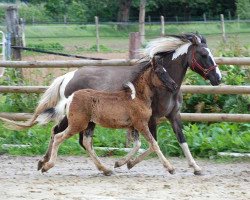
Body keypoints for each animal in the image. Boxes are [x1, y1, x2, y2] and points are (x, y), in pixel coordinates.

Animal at [0, 33, 222, 175]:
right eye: (204, 54)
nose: (217, 78)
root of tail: (68, 76)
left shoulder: (172, 116)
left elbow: (180, 140)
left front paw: (196, 168)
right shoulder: (149, 120)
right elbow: (151, 144)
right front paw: (126, 163)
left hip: (85, 121)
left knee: (76, 139)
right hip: (74, 118)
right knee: (59, 133)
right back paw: (45, 162)